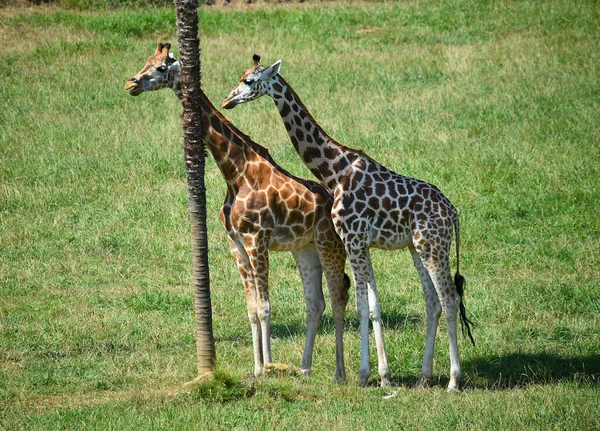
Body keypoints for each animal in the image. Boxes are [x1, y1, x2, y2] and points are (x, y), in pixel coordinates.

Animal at [126, 43, 352, 382]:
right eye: (145, 62)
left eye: (161, 68)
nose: (131, 84)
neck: (236, 171)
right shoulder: (236, 243)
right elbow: (251, 308)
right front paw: (256, 368)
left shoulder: (256, 239)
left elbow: (265, 306)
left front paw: (267, 367)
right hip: (304, 248)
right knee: (315, 303)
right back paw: (304, 367)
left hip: (329, 243)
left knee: (338, 297)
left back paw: (339, 374)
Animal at [220, 54, 474, 392]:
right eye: (240, 75)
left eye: (249, 81)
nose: (227, 100)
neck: (335, 171)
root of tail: (453, 213)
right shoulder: (361, 243)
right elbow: (372, 305)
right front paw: (381, 375)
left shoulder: (352, 238)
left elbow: (362, 305)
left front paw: (366, 375)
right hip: (416, 247)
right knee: (433, 302)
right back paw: (424, 377)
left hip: (433, 245)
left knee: (450, 299)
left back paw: (453, 381)